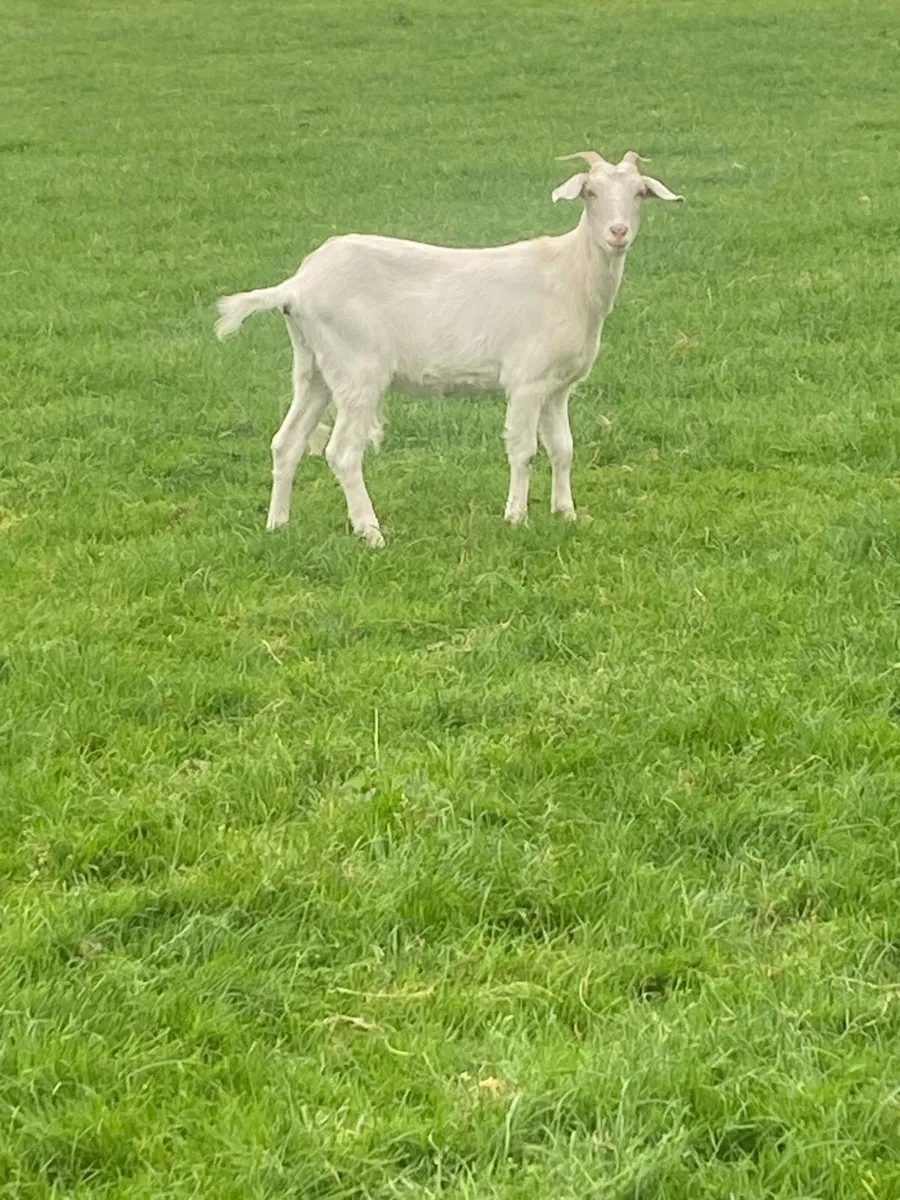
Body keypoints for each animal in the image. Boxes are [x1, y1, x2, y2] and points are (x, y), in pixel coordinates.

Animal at [216, 150, 683, 546]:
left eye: (639, 192)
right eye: (590, 192)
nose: (618, 232)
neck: (571, 273)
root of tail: (296, 286)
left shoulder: (557, 386)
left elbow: (563, 449)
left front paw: (566, 514)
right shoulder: (526, 381)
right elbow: (524, 451)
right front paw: (516, 518)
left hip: (315, 369)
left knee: (286, 442)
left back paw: (278, 525)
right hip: (357, 369)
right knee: (343, 452)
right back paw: (371, 532)